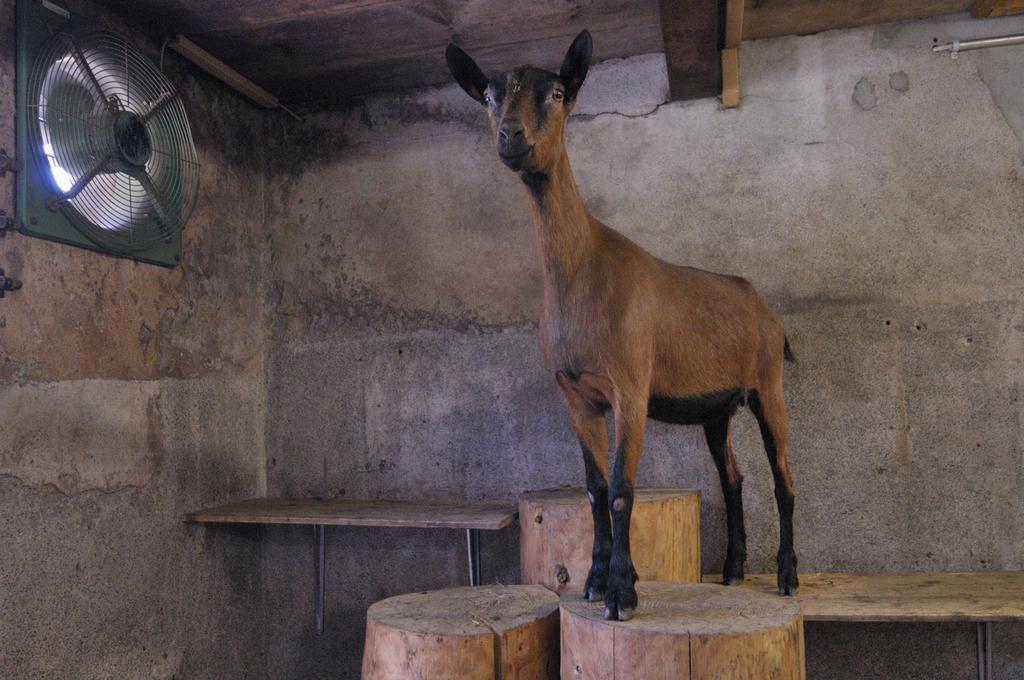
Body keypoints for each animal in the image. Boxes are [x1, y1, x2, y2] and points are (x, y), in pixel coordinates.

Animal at [450, 29, 798, 618]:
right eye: (490, 96)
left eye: (558, 92)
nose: (510, 137)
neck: (586, 268)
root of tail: (764, 309)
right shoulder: (577, 395)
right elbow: (593, 490)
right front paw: (593, 580)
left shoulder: (630, 386)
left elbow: (620, 490)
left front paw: (621, 592)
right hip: (717, 409)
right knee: (732, 479)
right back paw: (731, 570)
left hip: (768, 382)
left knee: (783, 479)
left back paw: (787, 576)